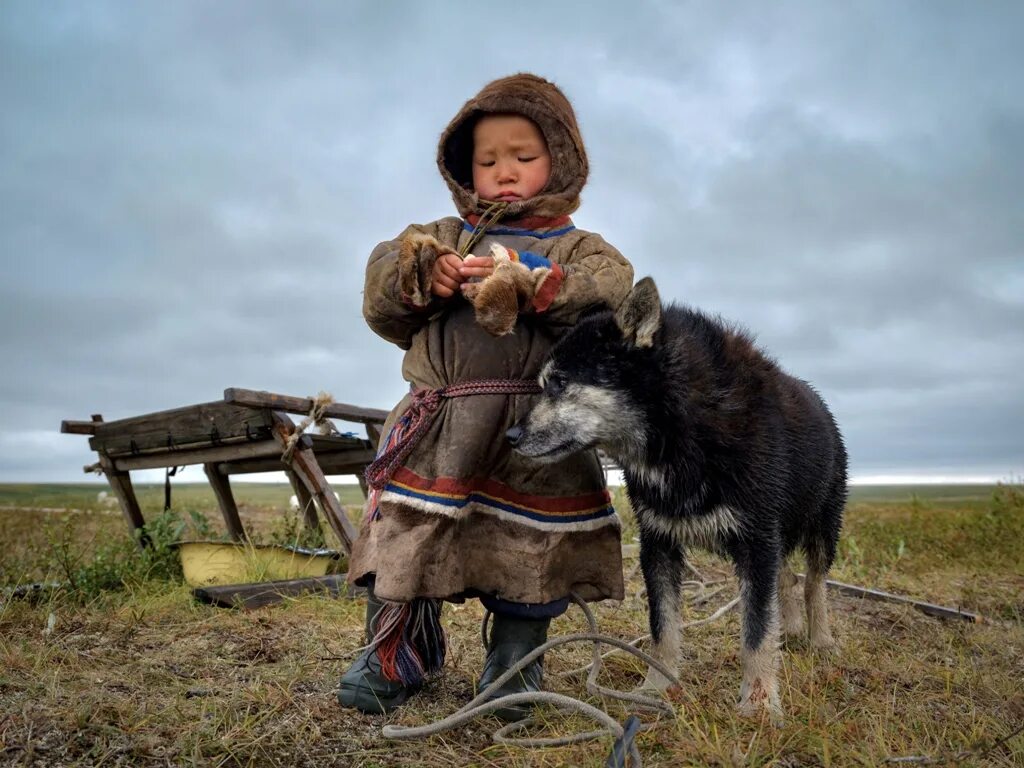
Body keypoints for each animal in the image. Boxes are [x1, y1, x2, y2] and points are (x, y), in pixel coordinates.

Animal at [505, 278, 847, 720]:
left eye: (560, 383)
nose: (512, 436)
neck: (681, 431)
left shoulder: (757, 542)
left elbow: (756, 629)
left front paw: (758, 702)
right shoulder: (659, 544)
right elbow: (663, 627)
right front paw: (656, 688)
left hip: (821, 524)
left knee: (814, 584)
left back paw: (820, 639)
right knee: (787, 579)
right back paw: (790, 631)